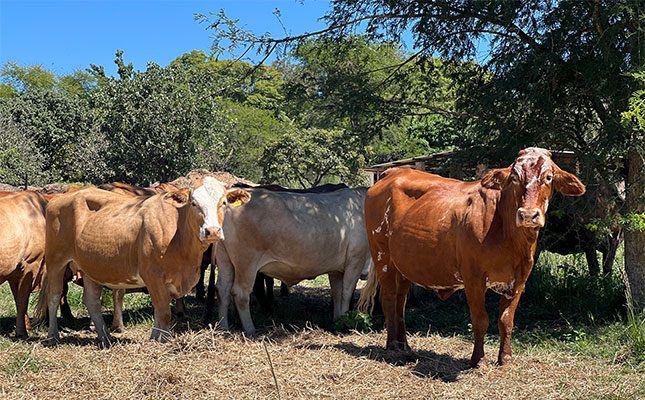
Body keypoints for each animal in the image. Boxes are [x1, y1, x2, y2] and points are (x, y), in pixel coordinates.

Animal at [0, 191, 47, 338]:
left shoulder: (14, 269)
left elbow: (18, 298)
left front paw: (27, 327)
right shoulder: (31, 262)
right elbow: (22, 300)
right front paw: (22, 333)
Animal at [36, 176, 250, 346]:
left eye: (224, 202)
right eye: (193, 203)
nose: (212, 231)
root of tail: (64, 196)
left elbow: (160, 311)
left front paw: (156, 336)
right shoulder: (152, 275)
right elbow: (163, 311)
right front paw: (162, 339)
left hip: (90, 265)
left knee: (91, 300)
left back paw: (105, 337)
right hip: (56, 261)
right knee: (54, 296)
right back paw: (53, 336)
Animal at [215, 186, 371, 335]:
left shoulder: (336, 269)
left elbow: (337, 294)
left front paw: (337, 320)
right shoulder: (356, 260)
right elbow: (346, 293)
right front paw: (345, 322)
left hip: (225, 260)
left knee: (223, 289)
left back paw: (223, 327)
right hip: (247, 262)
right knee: (240, 293)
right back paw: (250, 330)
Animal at [358, 148, 586, 368]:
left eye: (548, 177)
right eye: (514, 177)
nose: (528, 215)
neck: (510, 237)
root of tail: (393, 172)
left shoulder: (520, 279)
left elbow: (506, 320)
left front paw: (505, 358)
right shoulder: (473, 277)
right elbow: (480, 319)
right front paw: (478, 360)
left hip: (405, 263)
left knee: (400, 301)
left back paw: (404, 344)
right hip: (382, 256)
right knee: (388, 298)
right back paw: (392, 346)